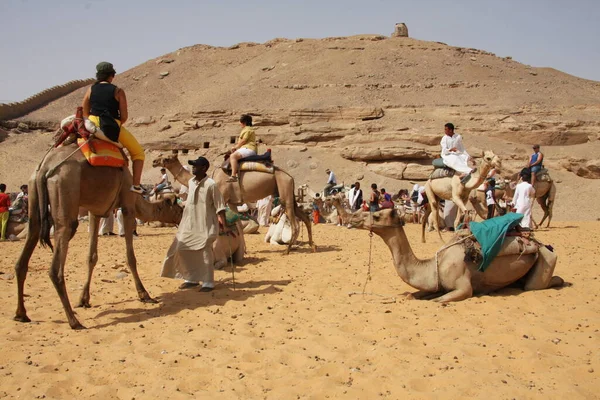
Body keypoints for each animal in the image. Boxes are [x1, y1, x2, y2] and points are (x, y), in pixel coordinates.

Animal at [152, 152, 316, 253]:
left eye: (166, 158)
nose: (154, 161)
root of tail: (290, 176)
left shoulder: (222, 198)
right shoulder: (232, 202)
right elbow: (237, 223)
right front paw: (243, 250)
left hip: (284, 191)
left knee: (295, 222)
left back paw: (288, 250)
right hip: (288, 192)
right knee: (305, 218)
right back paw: (312, 246)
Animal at [344, 209, 564, 304]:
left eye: (377, 215)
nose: (352, 217)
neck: (434, 265)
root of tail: (540, 243)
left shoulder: (462, 286)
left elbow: (437, 301)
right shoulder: (436, 284)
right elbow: (411, 295)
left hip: (545, 258)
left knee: (540, 283)